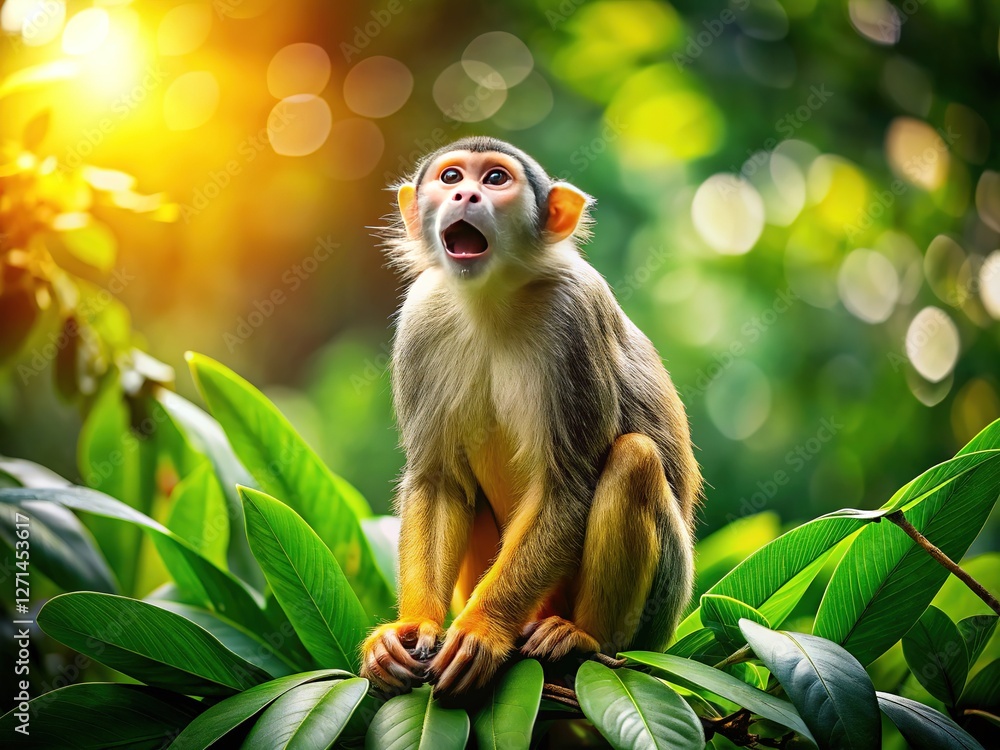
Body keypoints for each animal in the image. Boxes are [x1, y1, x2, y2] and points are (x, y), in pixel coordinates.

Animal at [360, 136, 701, 699]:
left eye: (496, 179)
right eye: (451, 177)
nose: (467, 195)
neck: (492, 300)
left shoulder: (574, 316)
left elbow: (569, 486)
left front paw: (481, 632)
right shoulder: (421, 315)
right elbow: (438, 480)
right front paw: (411, 629)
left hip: (661, 609)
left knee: (633, 458)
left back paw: (586, 637)